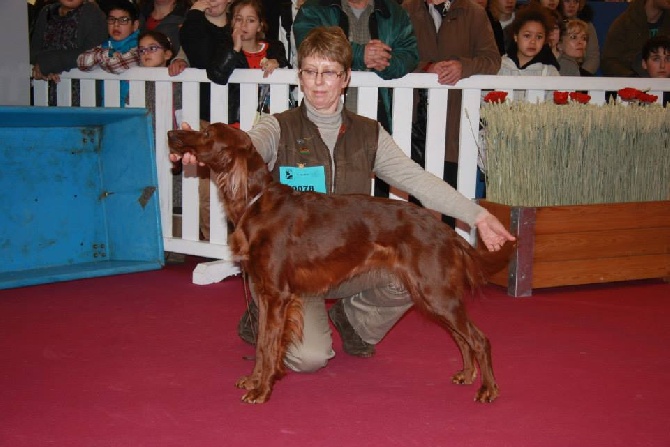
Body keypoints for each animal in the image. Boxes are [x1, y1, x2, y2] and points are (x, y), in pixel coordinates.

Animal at [168, 122, 510, 406]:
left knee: (479, 339)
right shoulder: (265, 295)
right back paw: (466, 375)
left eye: (208, 133)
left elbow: (269, 344)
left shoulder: (277, 296)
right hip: (430, 294)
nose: (171, 133)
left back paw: (488, 389)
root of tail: (445, 230)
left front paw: (262, 390)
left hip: (435, 291)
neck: (255, 203)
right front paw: (254, 381)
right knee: (462, 337)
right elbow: (262, 345)